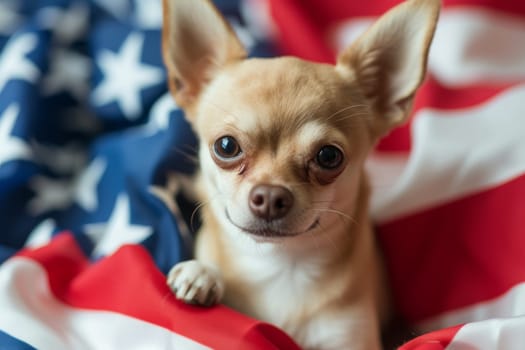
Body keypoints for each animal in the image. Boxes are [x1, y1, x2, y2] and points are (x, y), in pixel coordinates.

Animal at [162, 1, 440, 348]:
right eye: (226, 146)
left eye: (329, 156)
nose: (269, 196)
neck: (281, 267)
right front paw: (201, 274)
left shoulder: (349, 336)